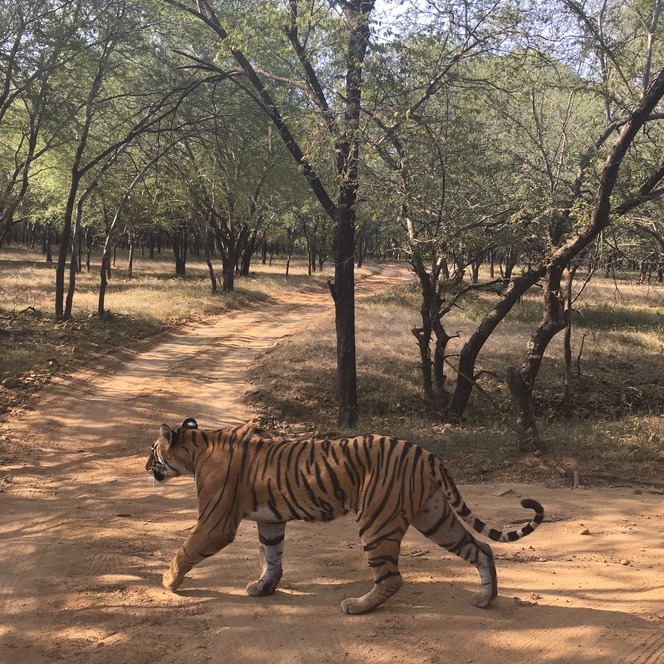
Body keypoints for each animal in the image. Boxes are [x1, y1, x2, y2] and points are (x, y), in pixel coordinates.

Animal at [146, 418, 544, 615]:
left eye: (153, 451)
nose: (145, 467)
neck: (198, 449)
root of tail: (426, 453)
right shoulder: (270, 520)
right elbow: (271, 556)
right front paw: (264, 587)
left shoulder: (216, 522)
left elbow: (185, 550)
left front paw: (168, 582)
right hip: (435, 517)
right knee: (481, 549)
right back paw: (485, 599)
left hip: (377, 523)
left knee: (392, 578)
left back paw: (358, 606)